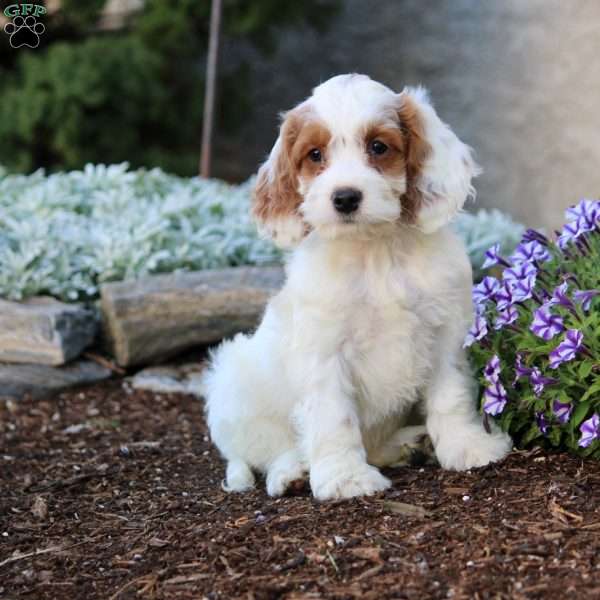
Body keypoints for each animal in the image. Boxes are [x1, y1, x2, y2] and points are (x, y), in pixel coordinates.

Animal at [203, 72, 510, 500]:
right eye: (315, 154)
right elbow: (334, 418)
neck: (374, 249)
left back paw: (409, 444)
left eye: (378, 147)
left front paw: (467, 445)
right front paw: (345, 478)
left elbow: (451, 396)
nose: (346, 197)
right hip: (235, 382)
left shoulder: (446, 333)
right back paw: (292, 472)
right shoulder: (324, 351)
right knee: (267, 450)